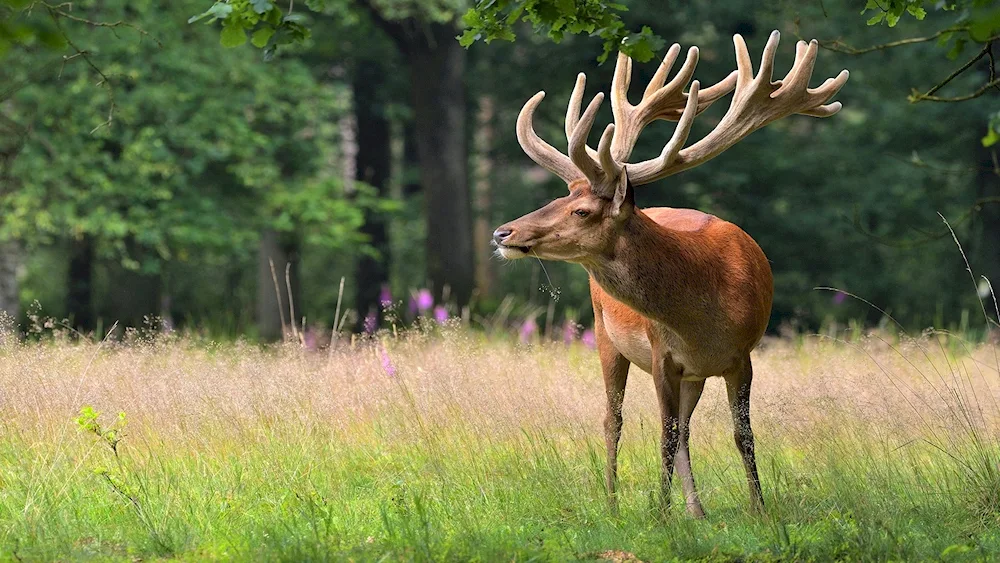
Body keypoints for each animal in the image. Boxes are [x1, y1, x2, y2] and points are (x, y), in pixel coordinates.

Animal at [490, 28, 844, 516]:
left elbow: (741, 435)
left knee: (684, 429)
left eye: (580, 210)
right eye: (559, 199)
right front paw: (661, 515)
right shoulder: (663, 355)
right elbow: (665, 436)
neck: (702, 316)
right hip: (604, 333)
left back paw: (695, 508)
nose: (502, 232)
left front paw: (758, 508)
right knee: (613, 418)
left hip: (691, 374)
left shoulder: (741, 357)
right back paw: (613, 502)